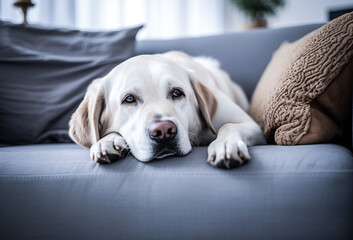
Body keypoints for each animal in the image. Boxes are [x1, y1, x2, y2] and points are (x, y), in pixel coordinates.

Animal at [69, 51, 264, 168]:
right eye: (129, 99)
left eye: (177, 92)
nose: (163, 131)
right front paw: (106, 142)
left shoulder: (251, 125)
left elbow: (228, 126)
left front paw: (225, 145)